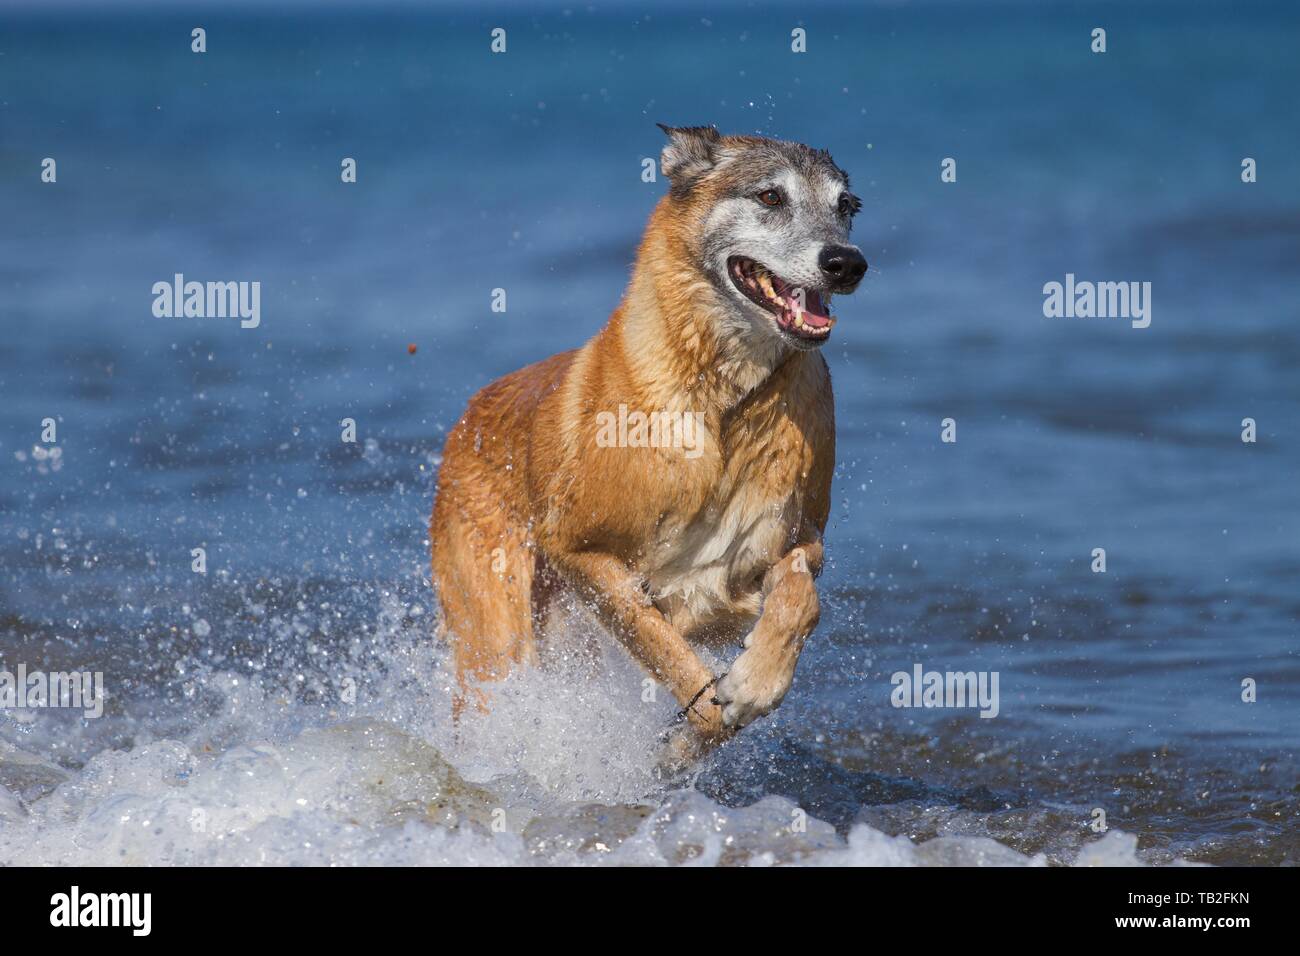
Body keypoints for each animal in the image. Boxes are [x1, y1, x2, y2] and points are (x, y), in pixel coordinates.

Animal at [431, 123, 868, 759]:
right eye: (769, 197)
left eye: (846, 207)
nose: (847, 263)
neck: (725, 399)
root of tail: (470, 414)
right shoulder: (581, 552)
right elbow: (658, 643)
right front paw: (697, 723)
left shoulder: (795, 540)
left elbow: (799, 598)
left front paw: (752, 686)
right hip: (496, 631)